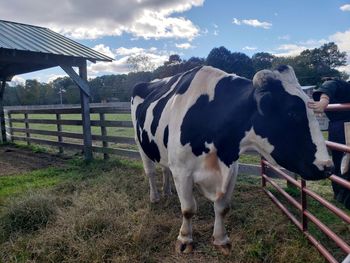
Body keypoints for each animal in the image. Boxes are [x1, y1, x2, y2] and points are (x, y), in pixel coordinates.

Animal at [131, 65, 334, 256]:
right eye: (292, 113)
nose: (328, 167)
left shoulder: (231, 168)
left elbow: (222, 208)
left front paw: (221, 240)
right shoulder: (182, 171)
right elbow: (188, 209)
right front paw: (185, 239)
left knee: (164, 168)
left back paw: (167, 191)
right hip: (141, 144)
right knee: (150, 172)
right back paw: (155, 197)